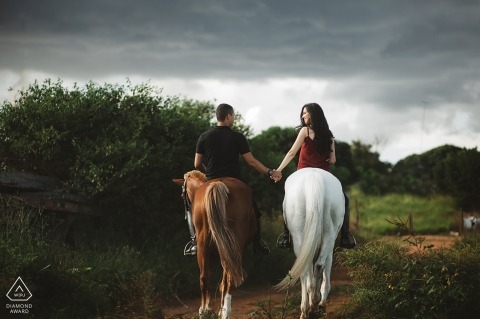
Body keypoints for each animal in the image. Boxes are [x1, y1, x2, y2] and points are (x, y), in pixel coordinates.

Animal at [173, 171, 256, 318]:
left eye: (182, 195)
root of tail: (218, 184)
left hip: (205, 246)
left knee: (206, 277)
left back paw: (207, 311)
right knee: (226, 277)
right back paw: (222, 311)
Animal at [274, 169, 344, 318]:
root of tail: (314, 178)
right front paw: (321, 304)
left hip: (299, 235)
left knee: (307, 268)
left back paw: (307, 309)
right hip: (329, 232)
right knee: (318, 265)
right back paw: (314, 305)